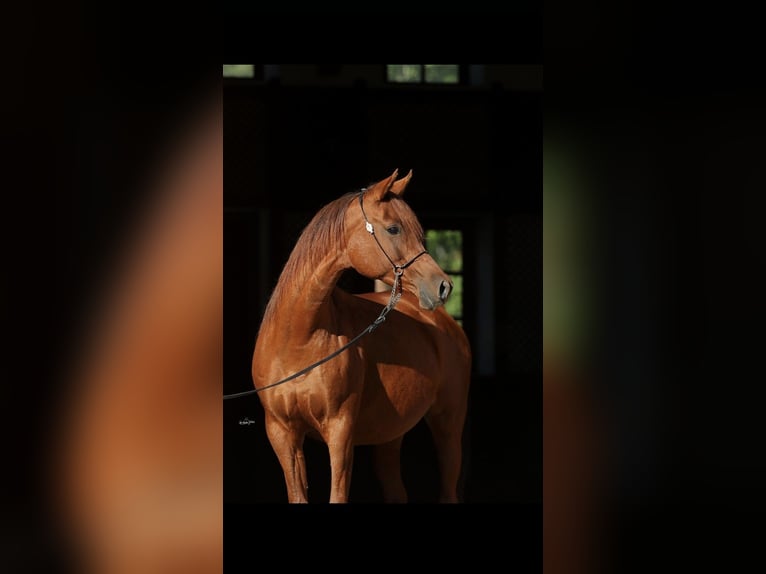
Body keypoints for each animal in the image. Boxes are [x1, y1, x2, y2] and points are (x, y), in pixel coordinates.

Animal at [251, 169, 471, 503]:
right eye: (393, 229)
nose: (443, 286)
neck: (298, 340)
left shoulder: (340, 431)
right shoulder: (282, 433)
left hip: (448, 426)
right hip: (391, 433)